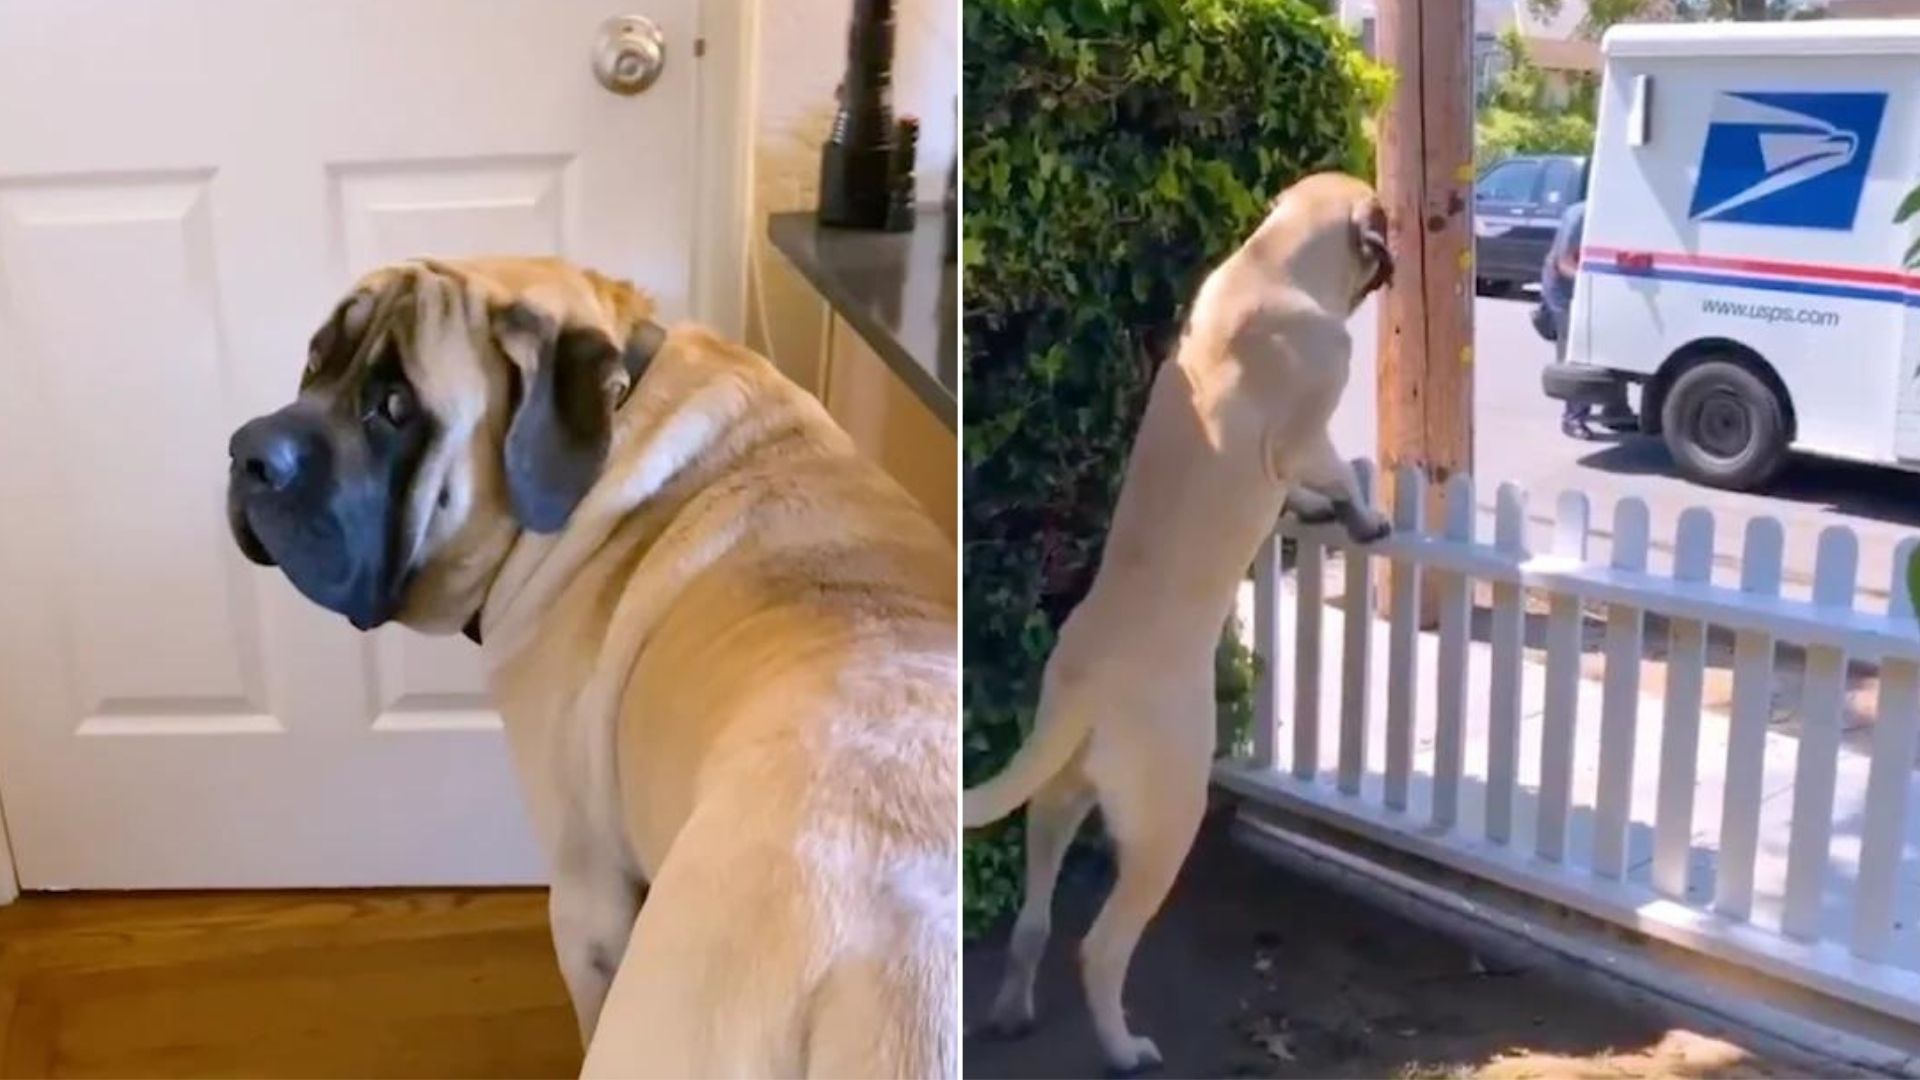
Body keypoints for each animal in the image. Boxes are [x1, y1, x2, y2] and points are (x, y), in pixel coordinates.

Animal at [960, 171, 1397, 1068]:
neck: (1274, 262)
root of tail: (1086, 686)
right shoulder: (1304, 437)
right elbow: (1337, 472)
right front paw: (1362, 516)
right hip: (1168, 821)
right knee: (1097, 949)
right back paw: (1125, 1050)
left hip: (1056, 802)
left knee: (1033, 920)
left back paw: (1015, 1010)